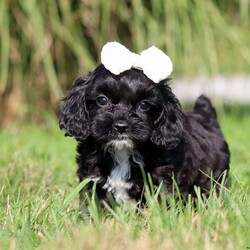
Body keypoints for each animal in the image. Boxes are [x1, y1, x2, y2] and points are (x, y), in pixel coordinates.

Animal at [60, 64, 230, 207]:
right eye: (102, 100)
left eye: (144, 105)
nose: (121, 126)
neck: (122, 151)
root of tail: (205, 115)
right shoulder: (91, 178)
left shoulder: (163, 181)